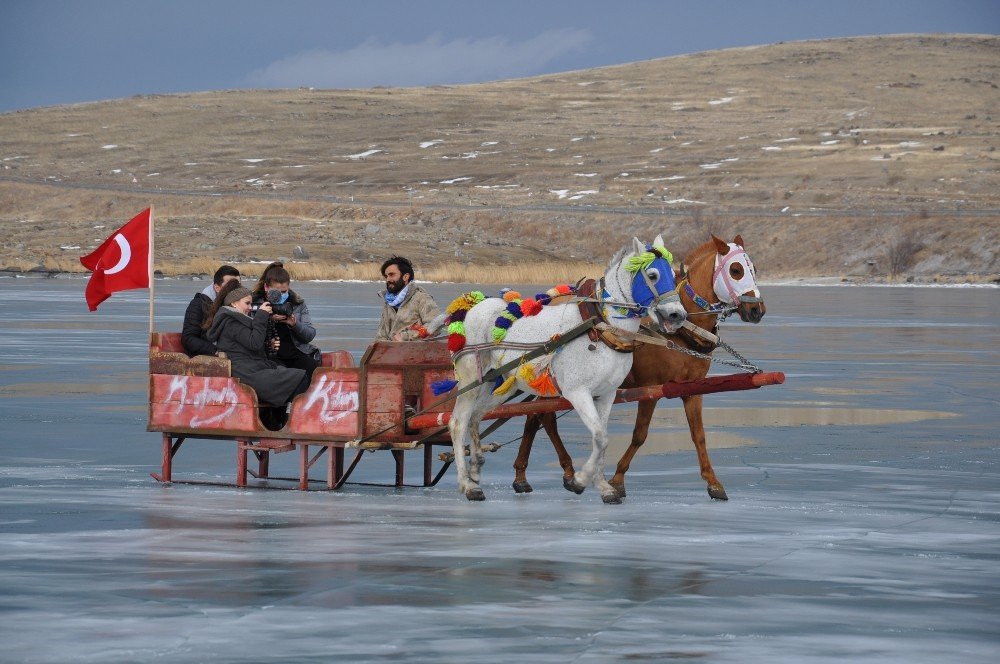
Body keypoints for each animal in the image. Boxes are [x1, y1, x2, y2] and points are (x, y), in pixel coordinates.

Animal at [448, 236, 688, 500]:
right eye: (653, 275)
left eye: (674, 276)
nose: (677, 315)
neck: (600, 327)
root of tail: (474, 308)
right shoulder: (578, 392)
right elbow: (600, 437)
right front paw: (579, 480)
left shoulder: (607, 394)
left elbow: (602, 439)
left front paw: (603, 486)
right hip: (471, 380)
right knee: (458, 423)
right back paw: (466, 483)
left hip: (501, 384)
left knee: (476, 416)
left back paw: (476, 468)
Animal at [512, 236, 768, 500]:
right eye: (736, 270)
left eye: (755, 269)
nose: (756, 310)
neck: (681, 330)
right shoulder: (650, 387)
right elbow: (640, 435)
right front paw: (617, 479)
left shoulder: (693, 389)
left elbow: (699, 436)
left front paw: (713, 482)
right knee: (542, 417)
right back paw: (560, 470)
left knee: (536, 417)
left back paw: (527, 476)